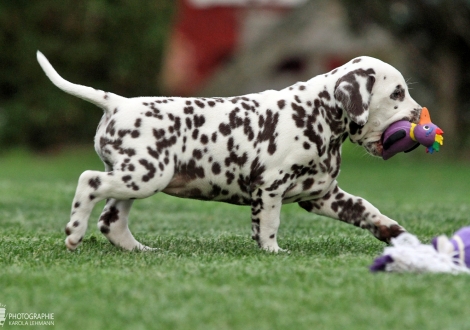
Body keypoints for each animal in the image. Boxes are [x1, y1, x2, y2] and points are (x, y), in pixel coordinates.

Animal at [36, 51, 420, 251]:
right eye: (397, 93)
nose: (419, 114)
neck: (315, 113)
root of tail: (117, 102)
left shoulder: (322, 195)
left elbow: (366, 209)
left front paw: (393, 232)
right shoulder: (270, 188)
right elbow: (268, 225)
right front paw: (273, 252)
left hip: (135, 179)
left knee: (111, 221)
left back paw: (140, 250)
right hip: (144, 175)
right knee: (88, 182)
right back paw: (74, 232)